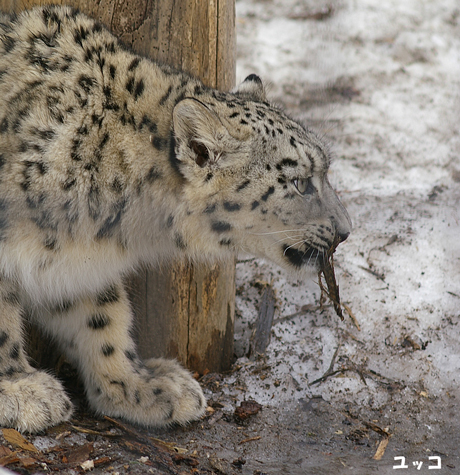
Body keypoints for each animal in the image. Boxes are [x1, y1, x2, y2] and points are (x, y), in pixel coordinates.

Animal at [0, 4, 350, 436]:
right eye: (301, 182)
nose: (345, 230)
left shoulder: (78, 265)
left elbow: (103, 315)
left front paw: (139, 386)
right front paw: (21, 389)